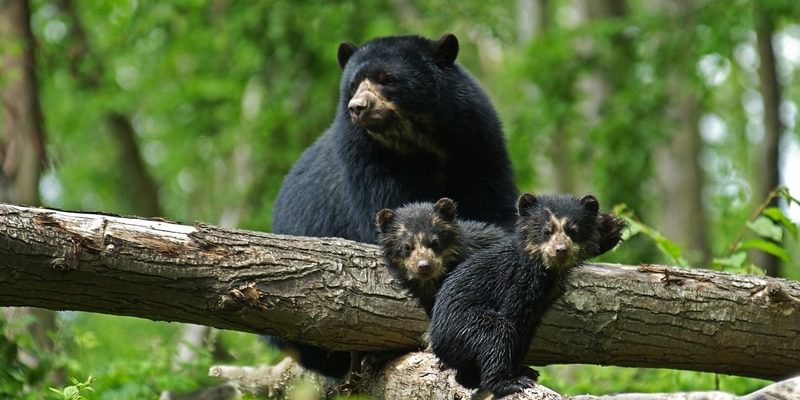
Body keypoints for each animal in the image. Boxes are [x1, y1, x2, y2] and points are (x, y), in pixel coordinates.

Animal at [428, 193, 625, 397]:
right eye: (547, 231)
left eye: (573, 231)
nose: (561, 250)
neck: (547, 270)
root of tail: (436, 341)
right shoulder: (519, 283)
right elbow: (514, 318)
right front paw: (517, 374)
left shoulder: (545, 300)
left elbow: (528, 330)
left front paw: (524, 369)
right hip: (462, 326)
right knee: (497, 332)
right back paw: (507, 383)